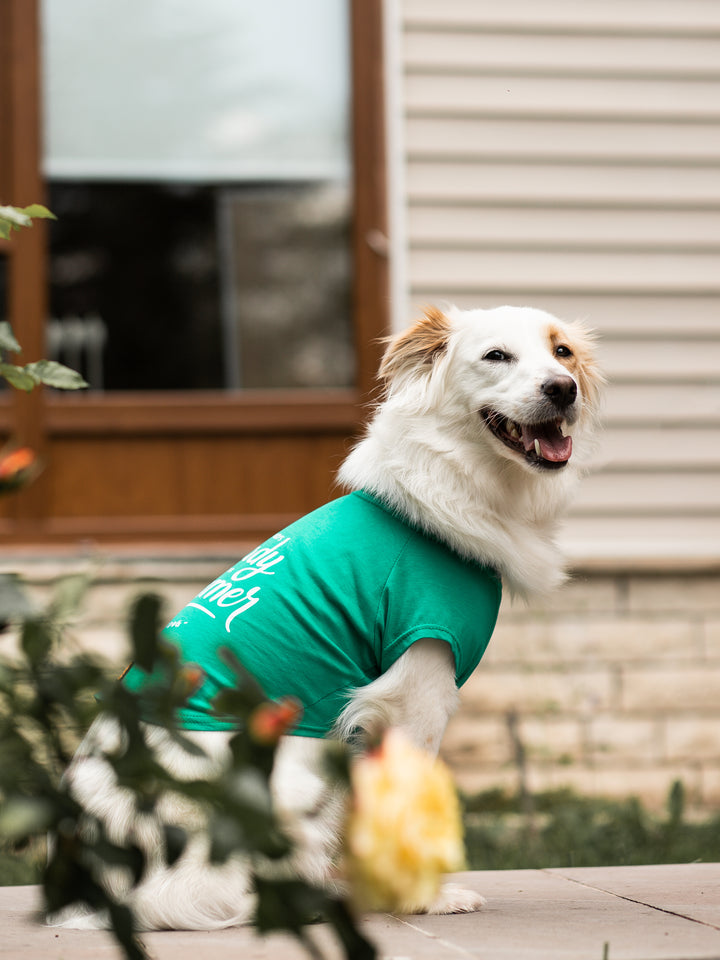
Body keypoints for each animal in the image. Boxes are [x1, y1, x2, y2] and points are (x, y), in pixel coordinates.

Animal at [52, 302, 600, 928]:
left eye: (562, 353)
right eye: (496, 356)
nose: (563, 389)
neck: (440, 487)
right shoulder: (416, 690)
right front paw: (425, 897)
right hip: (291, 775)